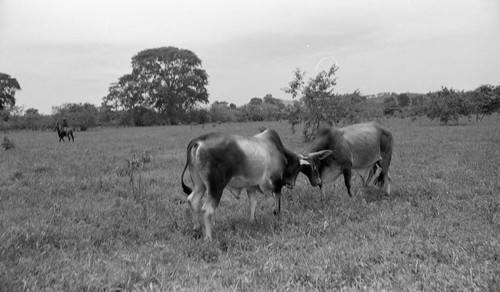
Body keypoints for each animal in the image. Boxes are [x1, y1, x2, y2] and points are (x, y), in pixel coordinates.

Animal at [180, 129, 328, 240]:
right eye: (314, 167)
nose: (318, 182)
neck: (278, 150)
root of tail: (199, 140)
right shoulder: (276, 184)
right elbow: (277, 206)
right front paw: (277, 218)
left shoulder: (250, 186)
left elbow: (253, 203)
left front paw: (252, 222)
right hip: (216, 187)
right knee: (207, 209)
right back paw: (209, 238)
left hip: (200, 185)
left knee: (192, 200)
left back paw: (197, 229)